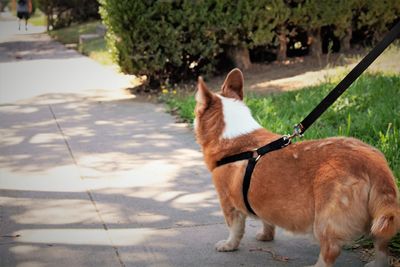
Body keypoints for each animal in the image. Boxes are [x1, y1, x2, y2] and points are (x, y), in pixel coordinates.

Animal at [193, 68, 396, 266]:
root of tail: (373, 162)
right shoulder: (264, 200)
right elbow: (267, 221)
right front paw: (266, 236)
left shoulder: (228, 203)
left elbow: (235, 229)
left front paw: (228, 245)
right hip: (379, 220)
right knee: (382, 245)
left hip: (325, 220)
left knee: (330, 250)